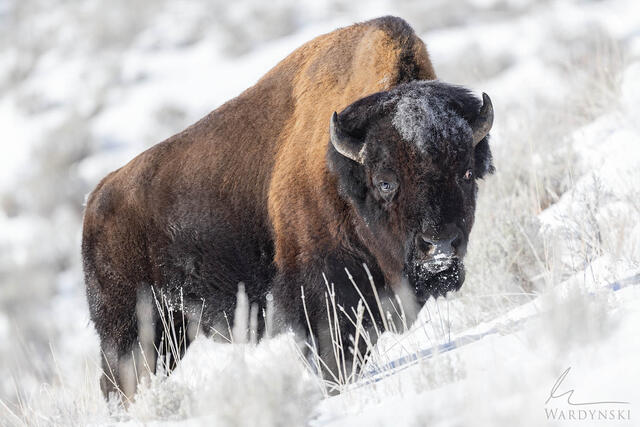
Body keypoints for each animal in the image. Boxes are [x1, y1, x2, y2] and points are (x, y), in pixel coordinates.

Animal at [82, 16, 494, 400]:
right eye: (385, 182)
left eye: (466, 172)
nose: (439, 246)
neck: (343, 170)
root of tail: (96, 200)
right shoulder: (320, 290)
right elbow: (332, 352)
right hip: (130, 329)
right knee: (121, 380)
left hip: (173, 330)